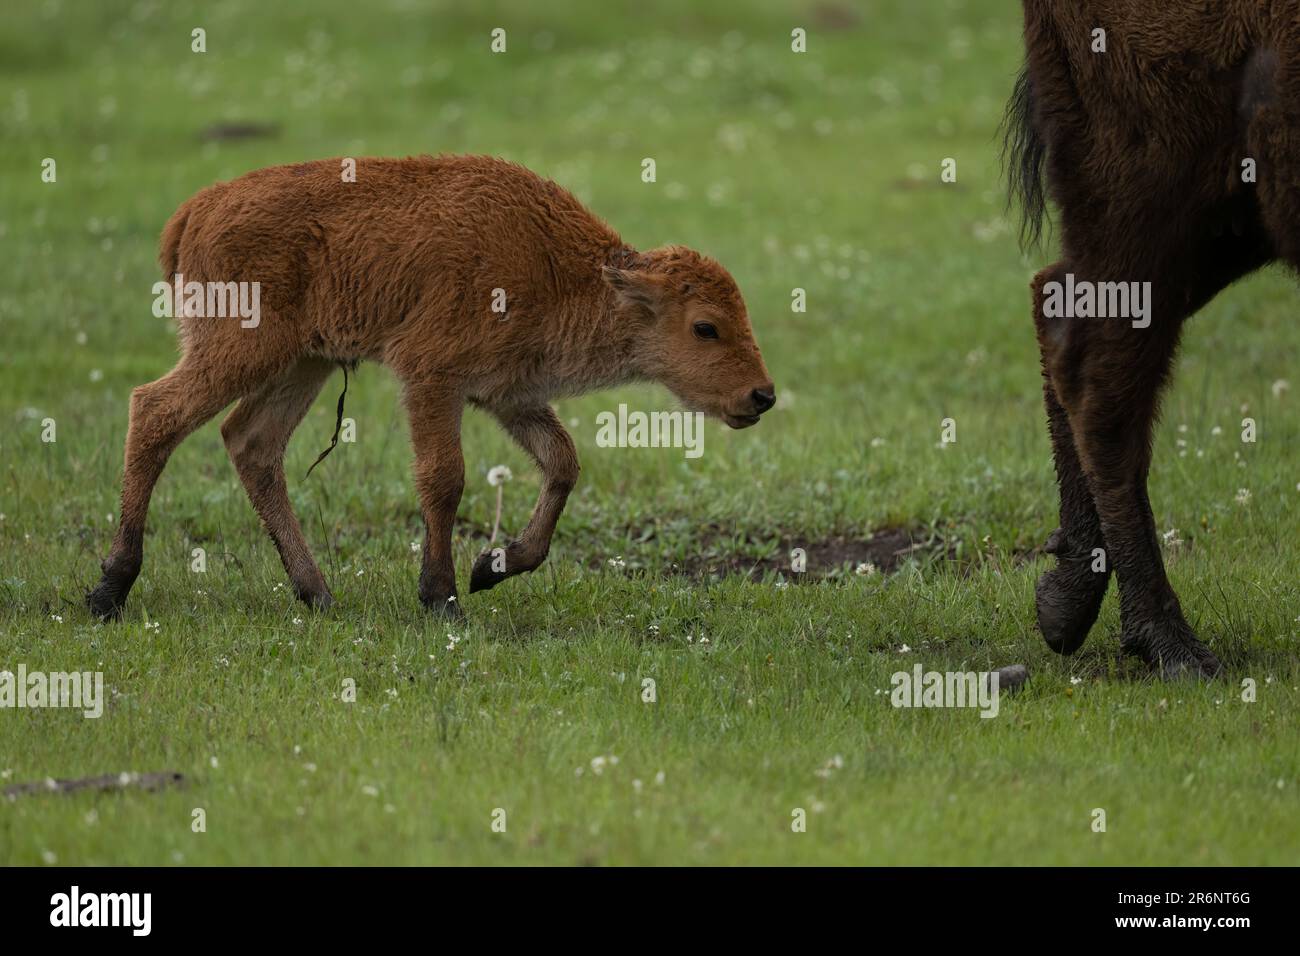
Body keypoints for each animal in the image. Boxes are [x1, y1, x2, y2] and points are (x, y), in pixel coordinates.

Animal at [89, 157, 769, 621]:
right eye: (705, 326)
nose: (761, 396)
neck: (567, 271)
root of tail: (197, 209)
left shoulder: (510, 396)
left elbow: (563, 463)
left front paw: (493, 568)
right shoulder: (431, 378)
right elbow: (444, 479)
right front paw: (442, 597)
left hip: (303, 364)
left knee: (252, 443)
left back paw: (318, 594)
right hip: (240, 351)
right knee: (155, 412)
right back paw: (110, 591)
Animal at [998, 0, 1294, 676]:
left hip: (1228, 216)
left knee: (1061, 307)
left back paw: (1067, 599)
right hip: (1152, 194)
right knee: (1099, 379)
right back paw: (1172, 647)